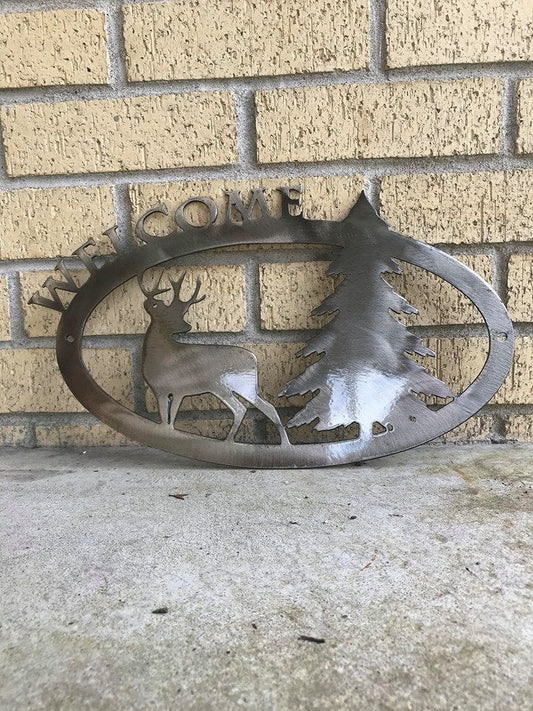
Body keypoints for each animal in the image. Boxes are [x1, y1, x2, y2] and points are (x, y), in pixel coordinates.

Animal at [139, 271, 290, 445]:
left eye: (181, 314)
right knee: (266, 407)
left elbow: (167, 419)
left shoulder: (168, 389)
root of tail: (254, 358)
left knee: (241, 408)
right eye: (168, 314)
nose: (187, 327)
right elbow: (167, 420)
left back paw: (229, 441)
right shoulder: (172, 391)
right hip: (241, 387)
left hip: (225, 386)